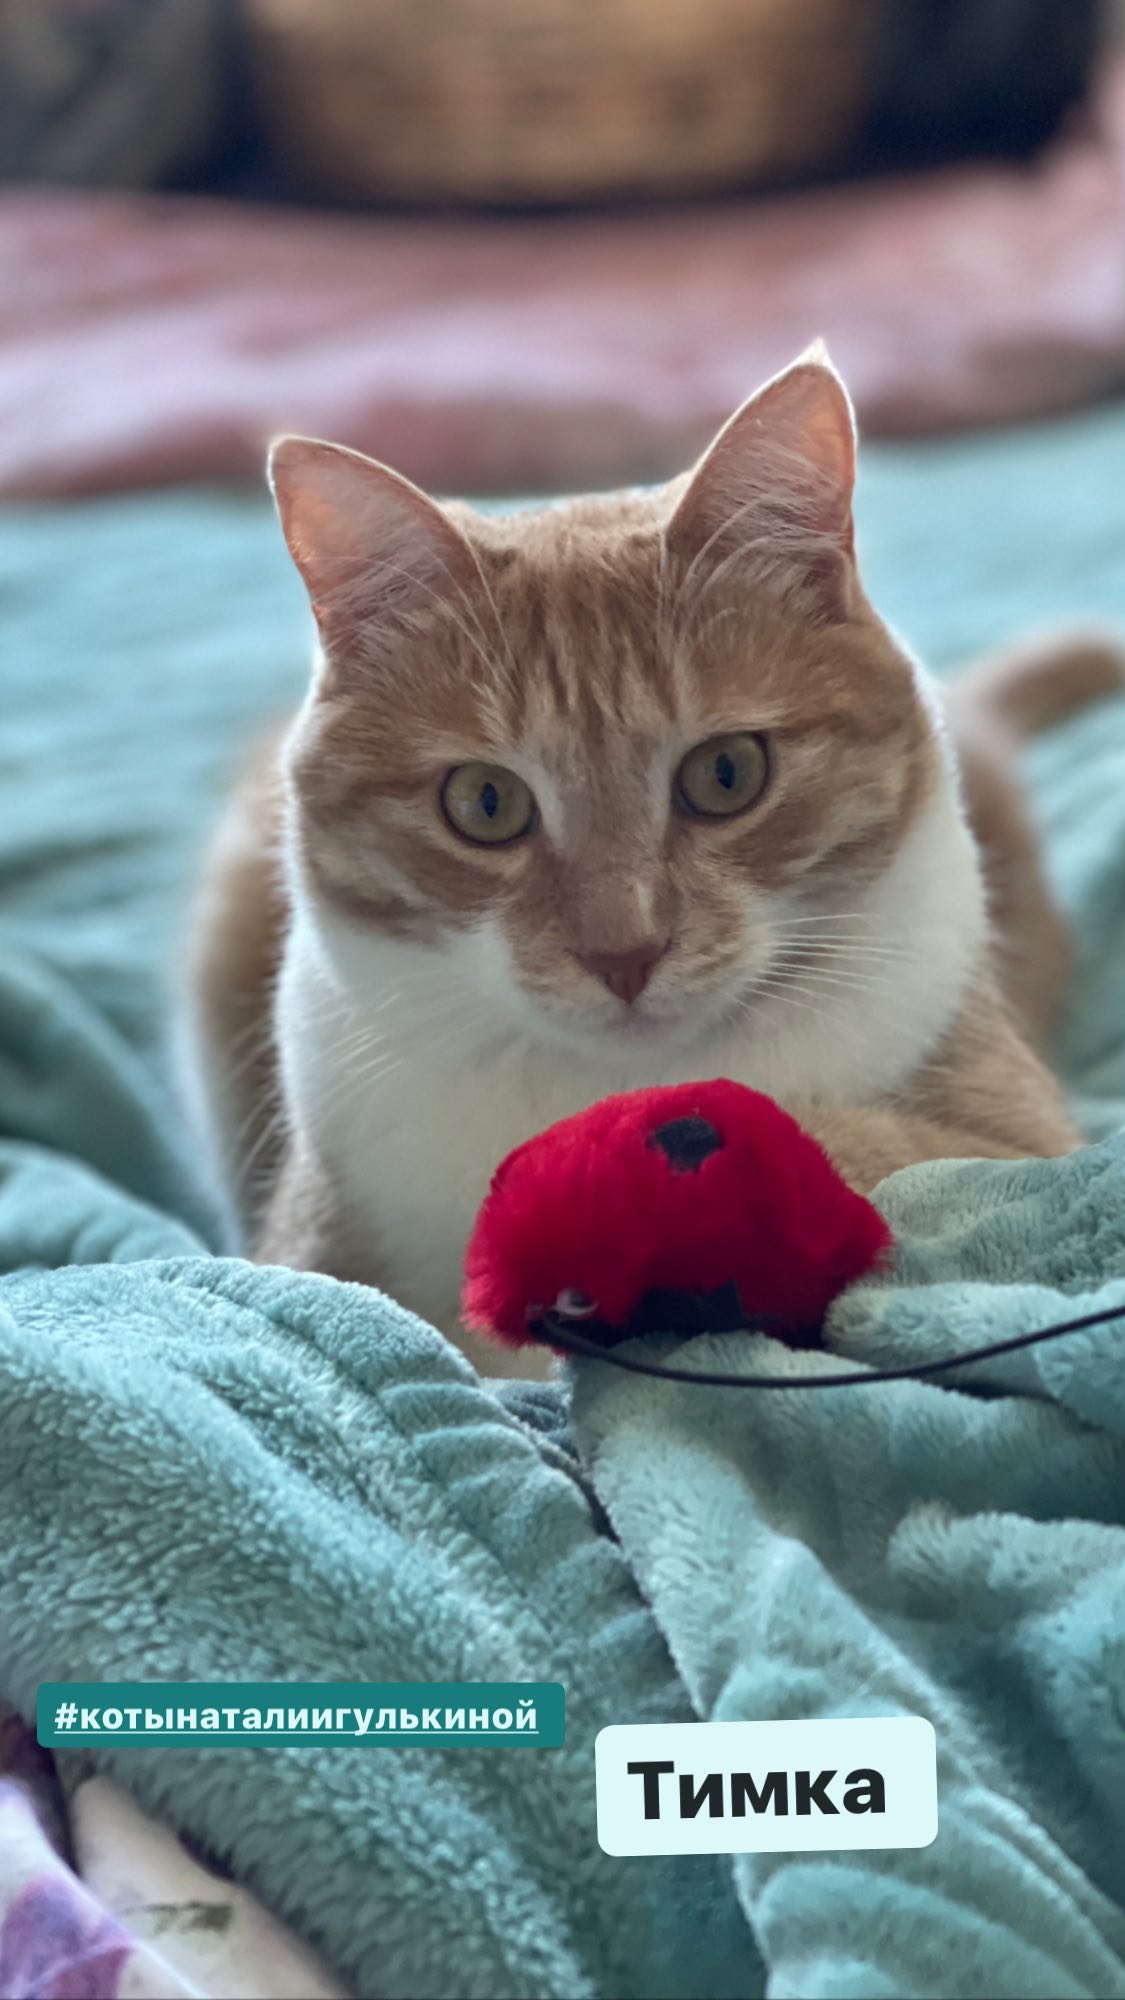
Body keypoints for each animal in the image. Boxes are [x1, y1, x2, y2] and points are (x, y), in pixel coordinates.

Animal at [184, 344, 1112, 1376]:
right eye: (485, 803)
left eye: (725, 772)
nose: (622, 952)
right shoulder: (307, 1241)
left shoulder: (1017, 1148)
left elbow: (881, 1159)